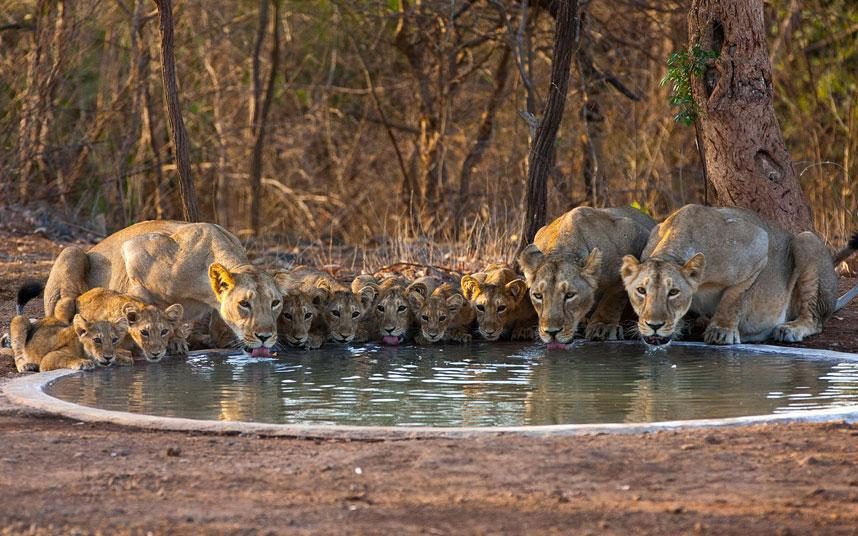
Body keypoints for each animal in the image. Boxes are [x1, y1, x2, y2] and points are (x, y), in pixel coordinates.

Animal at [516, 205, 656, 348]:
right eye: (538, 296)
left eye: (570, 295)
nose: (551, 332)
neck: (560, 249)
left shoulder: (633, 234)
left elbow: (614, 296)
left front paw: (603, 326)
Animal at [620, 203, 856, 346]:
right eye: (641, 291)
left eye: (673, 292)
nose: (654, 325)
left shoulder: (757, 244)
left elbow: (734, 298)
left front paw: (720, 332)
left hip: (806, 240)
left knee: (815, 320)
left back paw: (790, 329)